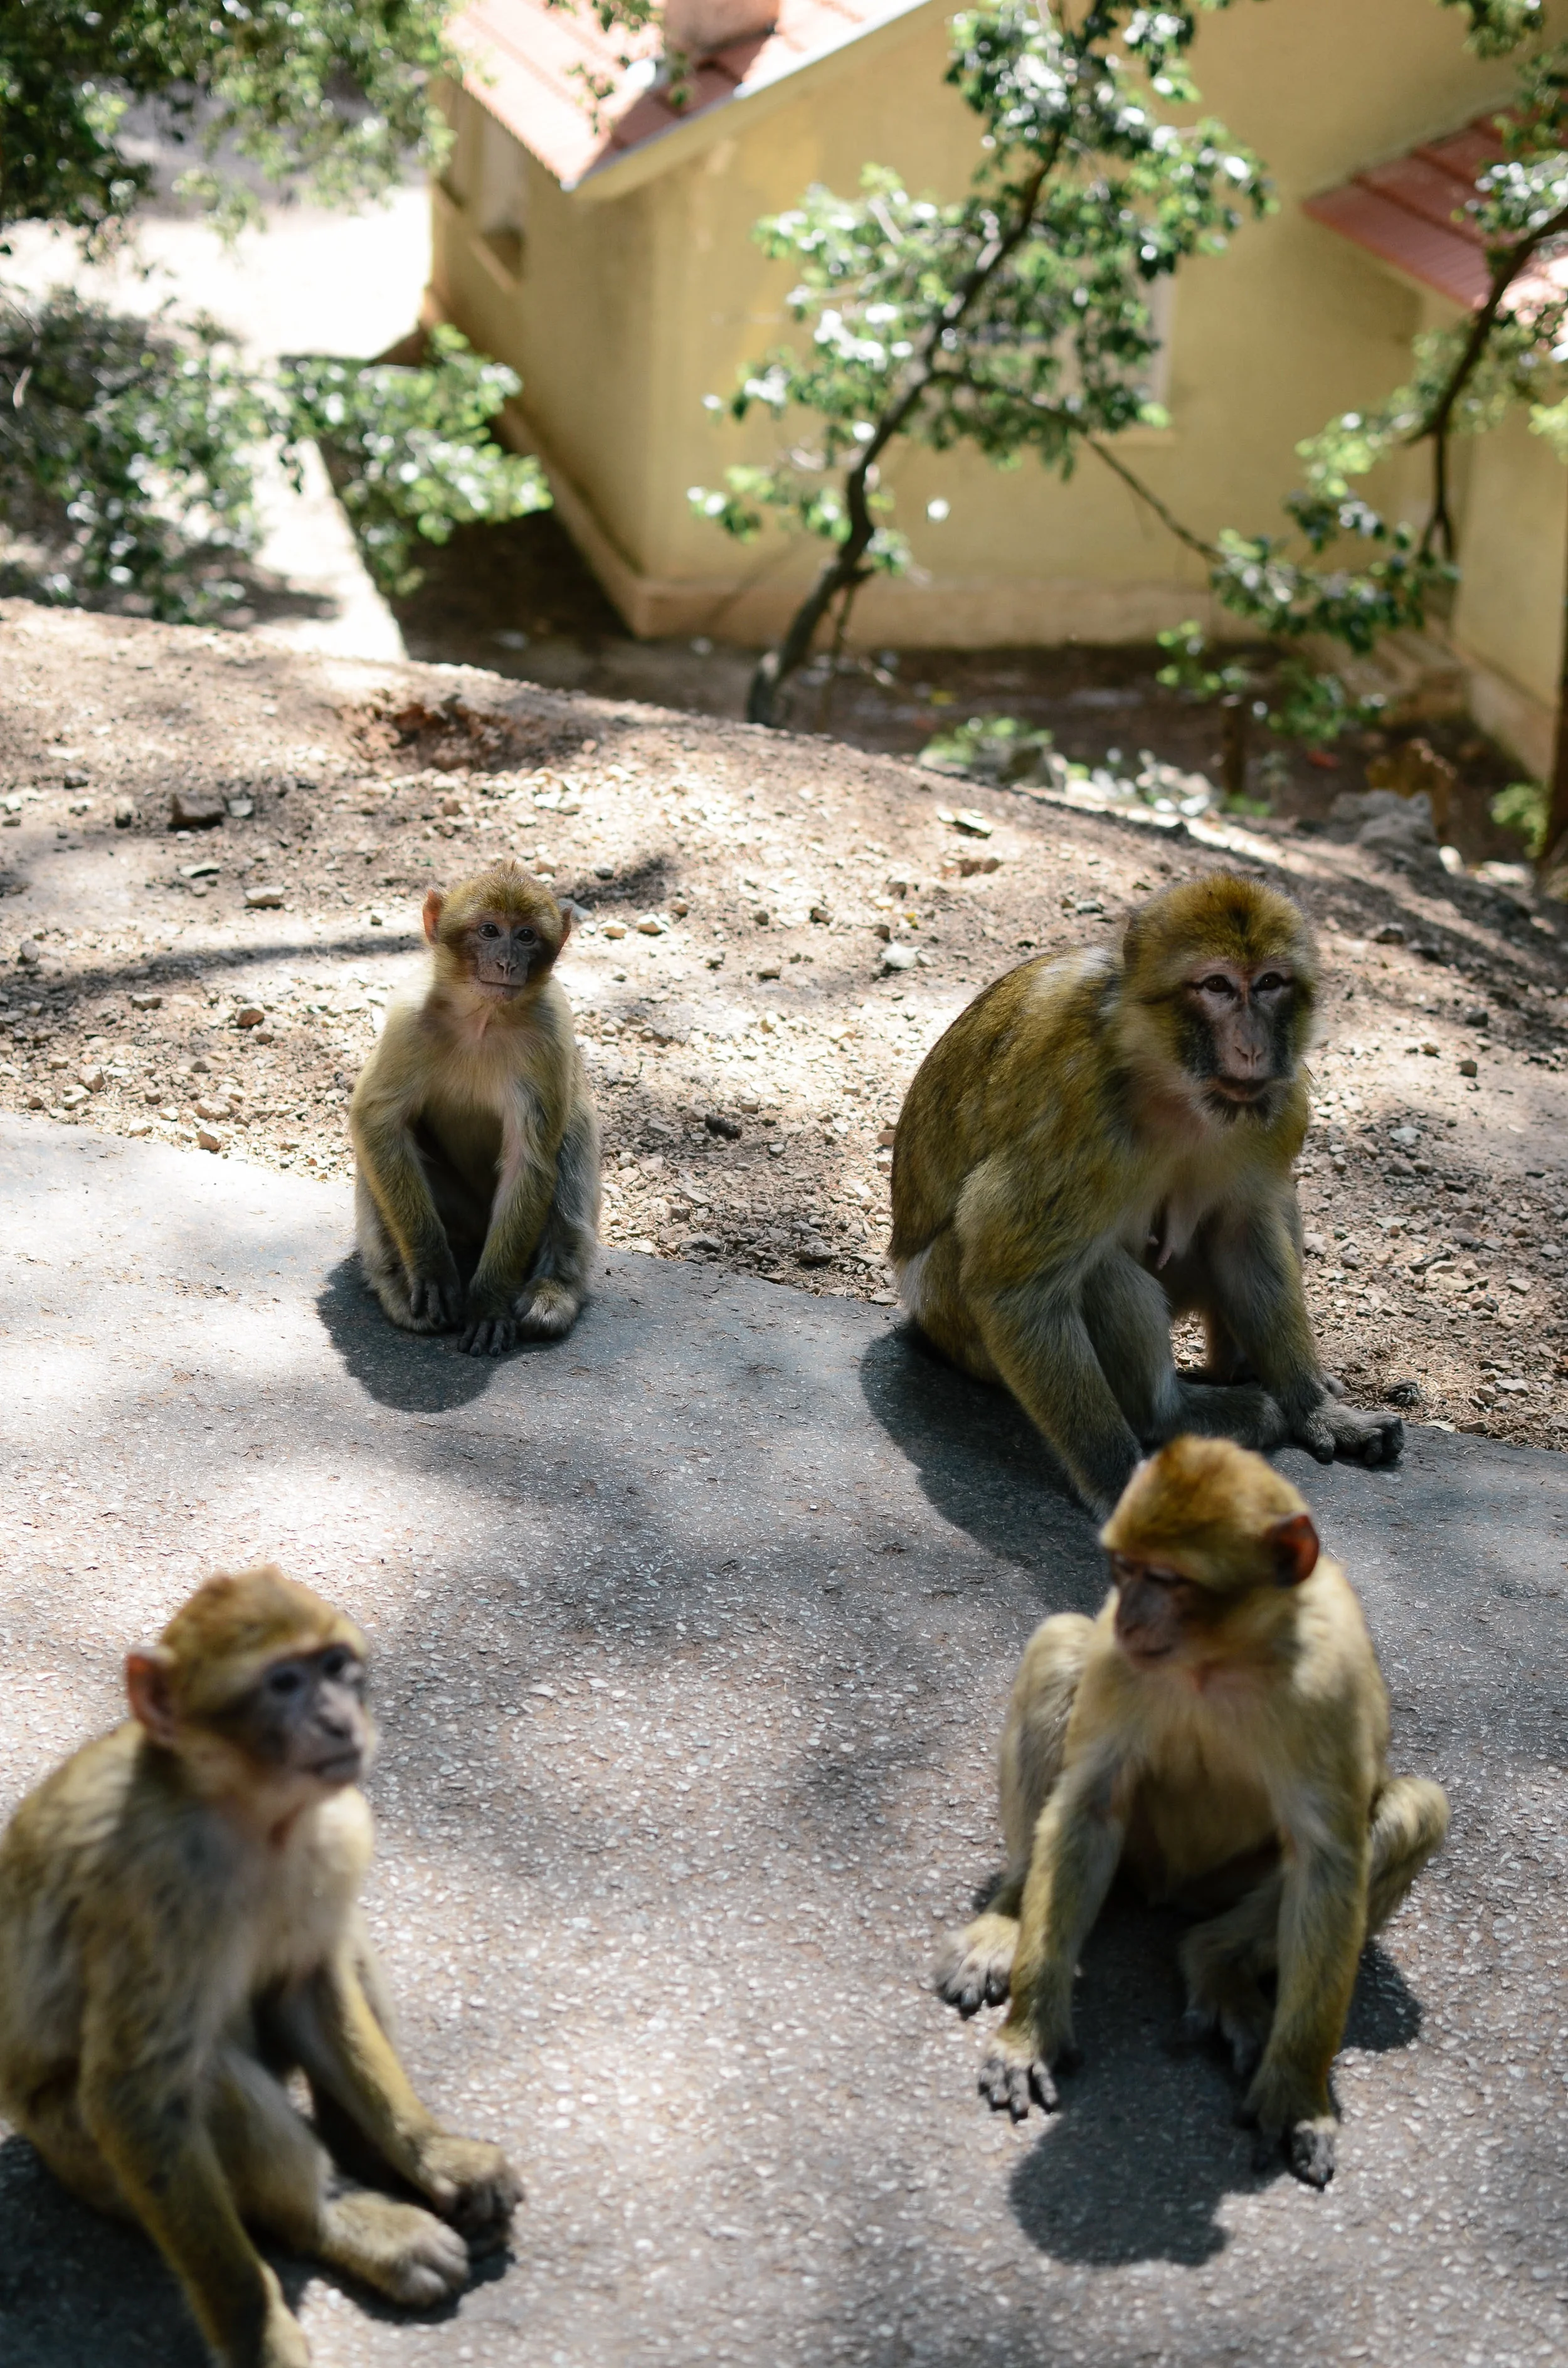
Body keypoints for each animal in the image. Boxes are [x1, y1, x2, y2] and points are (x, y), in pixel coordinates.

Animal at [0, 1566, 522, 2368]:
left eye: (335, 1667)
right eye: (283, 1682)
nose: (340, 1720)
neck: (253, 1815)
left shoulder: (336, 1829)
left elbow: (309, 1984)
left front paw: (430, 2150)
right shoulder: (152, 1886)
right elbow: (137, 2095)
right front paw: (256, 2328)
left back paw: (365, 2153)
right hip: (79, 2154)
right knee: (201, 2073)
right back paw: (334, 2218)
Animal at [352, 860, 600, 1356]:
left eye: (525, 936)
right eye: (489, 930)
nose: (507, 962)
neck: (483, 1017)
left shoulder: (550, 1032)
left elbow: (530, 1159)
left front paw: (489, 1301)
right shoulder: (408, 1020)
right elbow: (378, 1123)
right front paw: (430, 1268)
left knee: (574, 1131)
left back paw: (555, 1289)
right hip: (461, 1213)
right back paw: (394, 1281)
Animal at [890, 874, 1403, 1516]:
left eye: (1269, 983)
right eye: (1217, 986)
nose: (1252, 1047)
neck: (1171, 1081)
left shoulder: (1280, 1111)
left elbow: (1244, 1230)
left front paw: (1316, 1407)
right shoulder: (1081, 1114)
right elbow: (1014, 1289)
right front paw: (1119, 1480)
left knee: (1275, 1207)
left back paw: (1239, 1372)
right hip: (952, 1320)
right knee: (1096, 1271)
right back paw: (1176, 1414)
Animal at [933, 1438, 1448, 2186]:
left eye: (1167, 1578)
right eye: (1122, 1569)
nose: (1126, 1615)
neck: (1218, 1658)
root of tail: (1168, 1890)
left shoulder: (1329, 1679)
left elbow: (1328, 1862)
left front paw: (1297, 2087)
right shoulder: (1121, 1661)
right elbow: (1088, 1806)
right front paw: (1031, 2029)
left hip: (1220, 1885)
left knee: (1415, 1808)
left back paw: (1215, 1959)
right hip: (1139, 1849)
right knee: (1061, 1643)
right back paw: (1008, 1917)